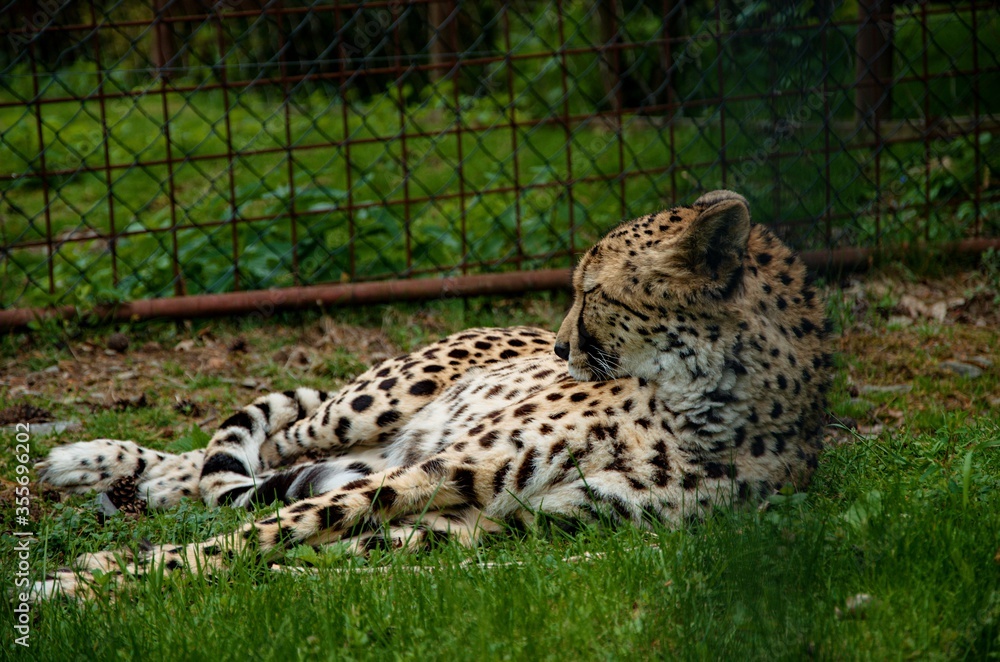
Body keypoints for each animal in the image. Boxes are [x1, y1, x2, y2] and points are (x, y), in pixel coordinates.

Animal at [33, 189, 832, 599]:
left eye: (594, 292)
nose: (559, 349)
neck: (703, 403)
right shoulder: (447, 468)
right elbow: (269, 529)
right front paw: (96, 576)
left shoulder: (511, 523)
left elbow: (327, 539)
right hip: (373, 407)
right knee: (238, 453)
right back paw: (92, 462)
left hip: (374, 448)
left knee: (249, 474)